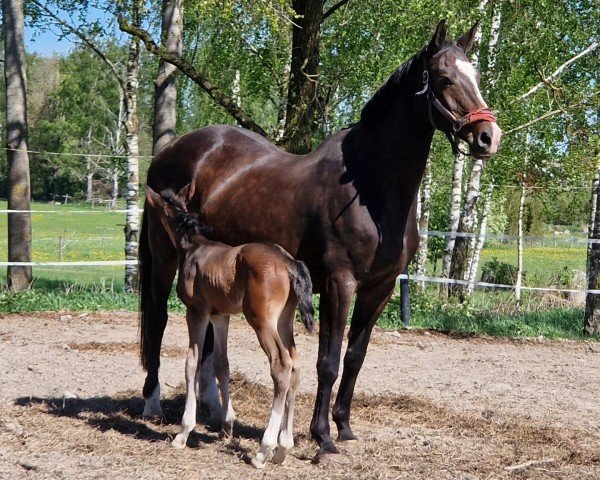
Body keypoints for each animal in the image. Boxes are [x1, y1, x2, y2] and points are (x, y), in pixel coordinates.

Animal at [146, 185, 314, 468]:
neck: (195, 247)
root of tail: (290, 263)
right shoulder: (220, 316)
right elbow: (221, 364)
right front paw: (226, 426)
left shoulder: (197, 312)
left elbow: (191, 363)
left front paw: (183, 433)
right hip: (284, 321)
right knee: (296, 365)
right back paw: (284, 448)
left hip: (262, 321)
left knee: (281, 365)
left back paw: (264, 450)